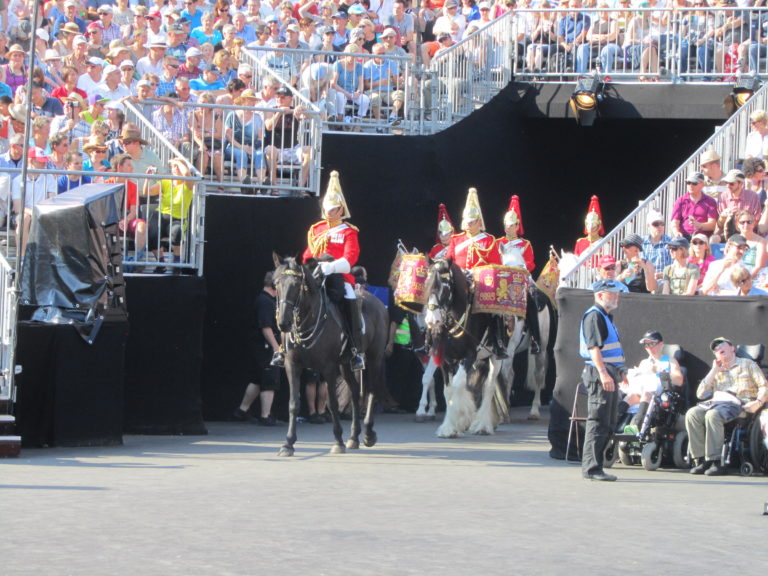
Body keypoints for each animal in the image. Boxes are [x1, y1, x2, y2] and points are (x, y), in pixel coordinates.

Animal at [272, 254, 390, 456]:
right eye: (277, 283)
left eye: (296, 284)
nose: (283, 323)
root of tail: (377, 302)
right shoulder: (292, 365)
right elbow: (294, 403)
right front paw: (288, 443)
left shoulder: (328, 368)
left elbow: (332, 403)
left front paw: (338, 441)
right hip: (345, 364)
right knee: (354, 391)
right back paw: (354, 436)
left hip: (374, 358)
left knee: (371, 390)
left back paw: (368, 434)